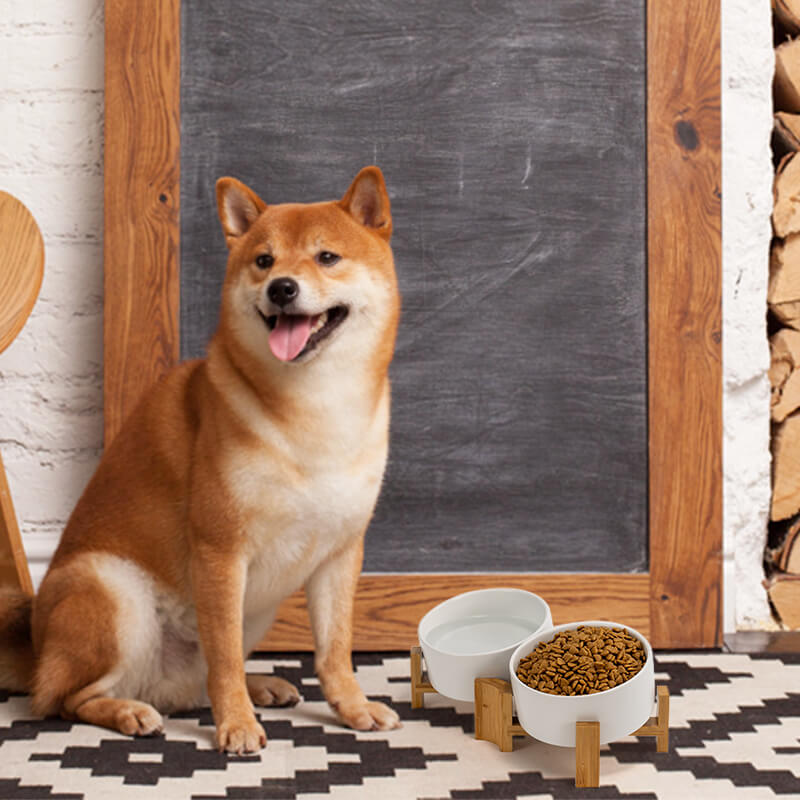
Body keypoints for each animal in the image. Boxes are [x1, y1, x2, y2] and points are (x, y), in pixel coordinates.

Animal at [0, 166, 400, 752]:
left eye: (327, 257)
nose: (282, 288)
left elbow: (334, 650)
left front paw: (352, 707)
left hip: (252, 610)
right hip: (112, 590)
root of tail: (36, 644)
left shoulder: (340, 553)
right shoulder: (221, 550)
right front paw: (236, 725)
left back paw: (259, 686)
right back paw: (128, 711)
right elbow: (224, 656)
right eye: (264, 261)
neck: (314, 409)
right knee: (65, 698)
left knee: (189, 682)